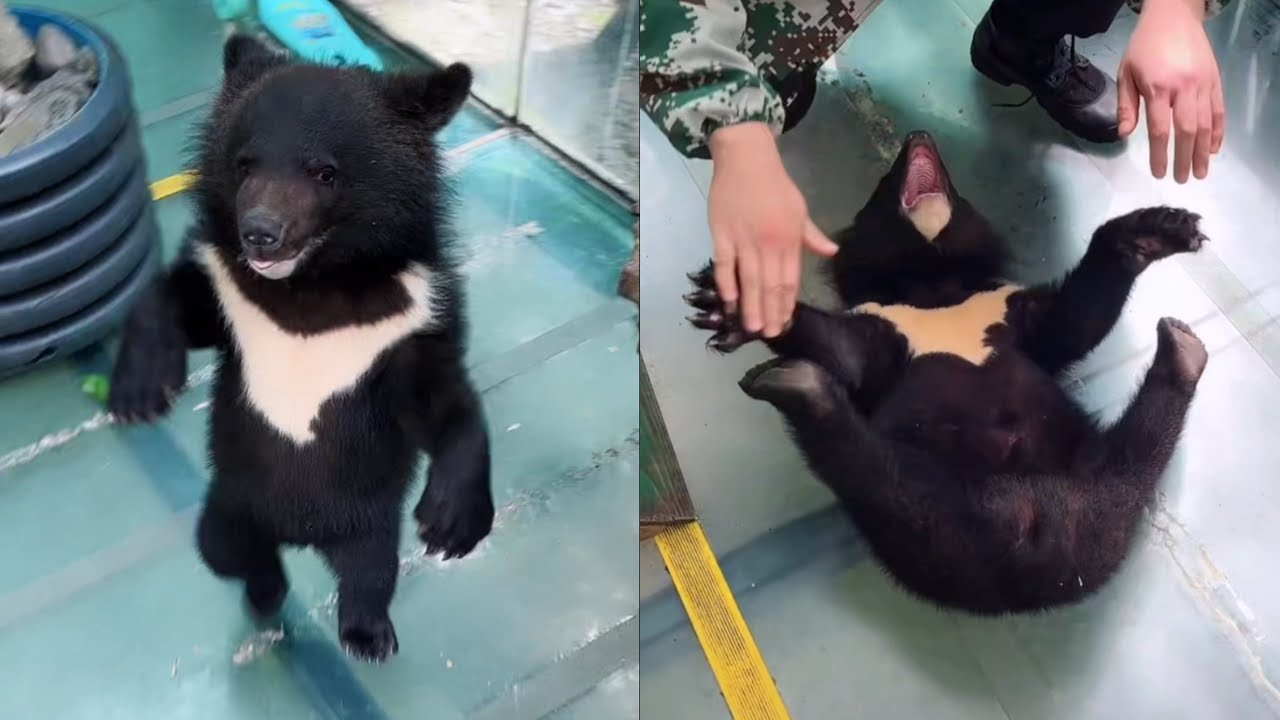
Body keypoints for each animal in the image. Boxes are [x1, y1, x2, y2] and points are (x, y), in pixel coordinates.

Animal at [108, 36, 492, 661]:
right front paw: (140, 393)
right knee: (228, 552)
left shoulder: (410, 319)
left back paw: (368, 635)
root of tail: (302, 534)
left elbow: (442, 400)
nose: (261, 233)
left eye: (324, 172)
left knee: (370, 576)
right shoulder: (233, 295)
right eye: (245, 165)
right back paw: (268, 593)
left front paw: (451, 526)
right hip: (231, 507)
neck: (312, 287)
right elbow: (178, 297)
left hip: (368, 524)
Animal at [684, 130, 1209, 614]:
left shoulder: (1010, 313)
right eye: (884, 179)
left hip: (1100, 485)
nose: (918, 136)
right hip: (923, 516)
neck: (933, 286)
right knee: (866, 469)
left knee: (1140, 451)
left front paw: (1161, 226)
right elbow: (842, 350)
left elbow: (1076, 319)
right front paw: (735, 302)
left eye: (954, 181)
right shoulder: (883, 332)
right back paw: (796, 385)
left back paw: (1183, 349)